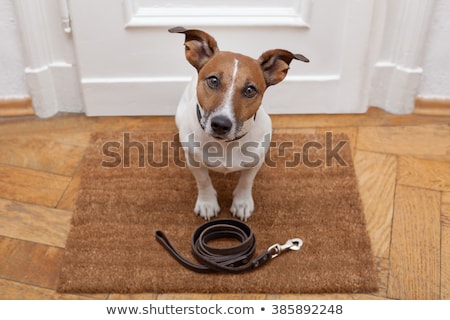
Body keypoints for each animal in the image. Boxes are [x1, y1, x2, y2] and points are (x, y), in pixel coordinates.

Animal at [170, 26, 310, 221]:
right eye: (213, 80)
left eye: (250, 90)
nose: (221, 124)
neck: (225, 145)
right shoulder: (194, 162)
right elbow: (203, 181)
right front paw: (207, 203)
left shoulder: (255, 161)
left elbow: (246, 181)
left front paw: (242, 203)